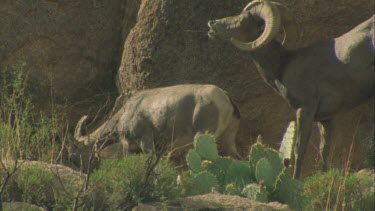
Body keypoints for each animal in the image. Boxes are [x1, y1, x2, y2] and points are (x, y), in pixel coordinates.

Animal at [209, 0, 375, 178]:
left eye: (241, 20)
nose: (212, 23)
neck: (282, 65)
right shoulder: (326, 119)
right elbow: (324, 150)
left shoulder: (305, 110)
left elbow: (299, 148)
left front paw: (295, 179)